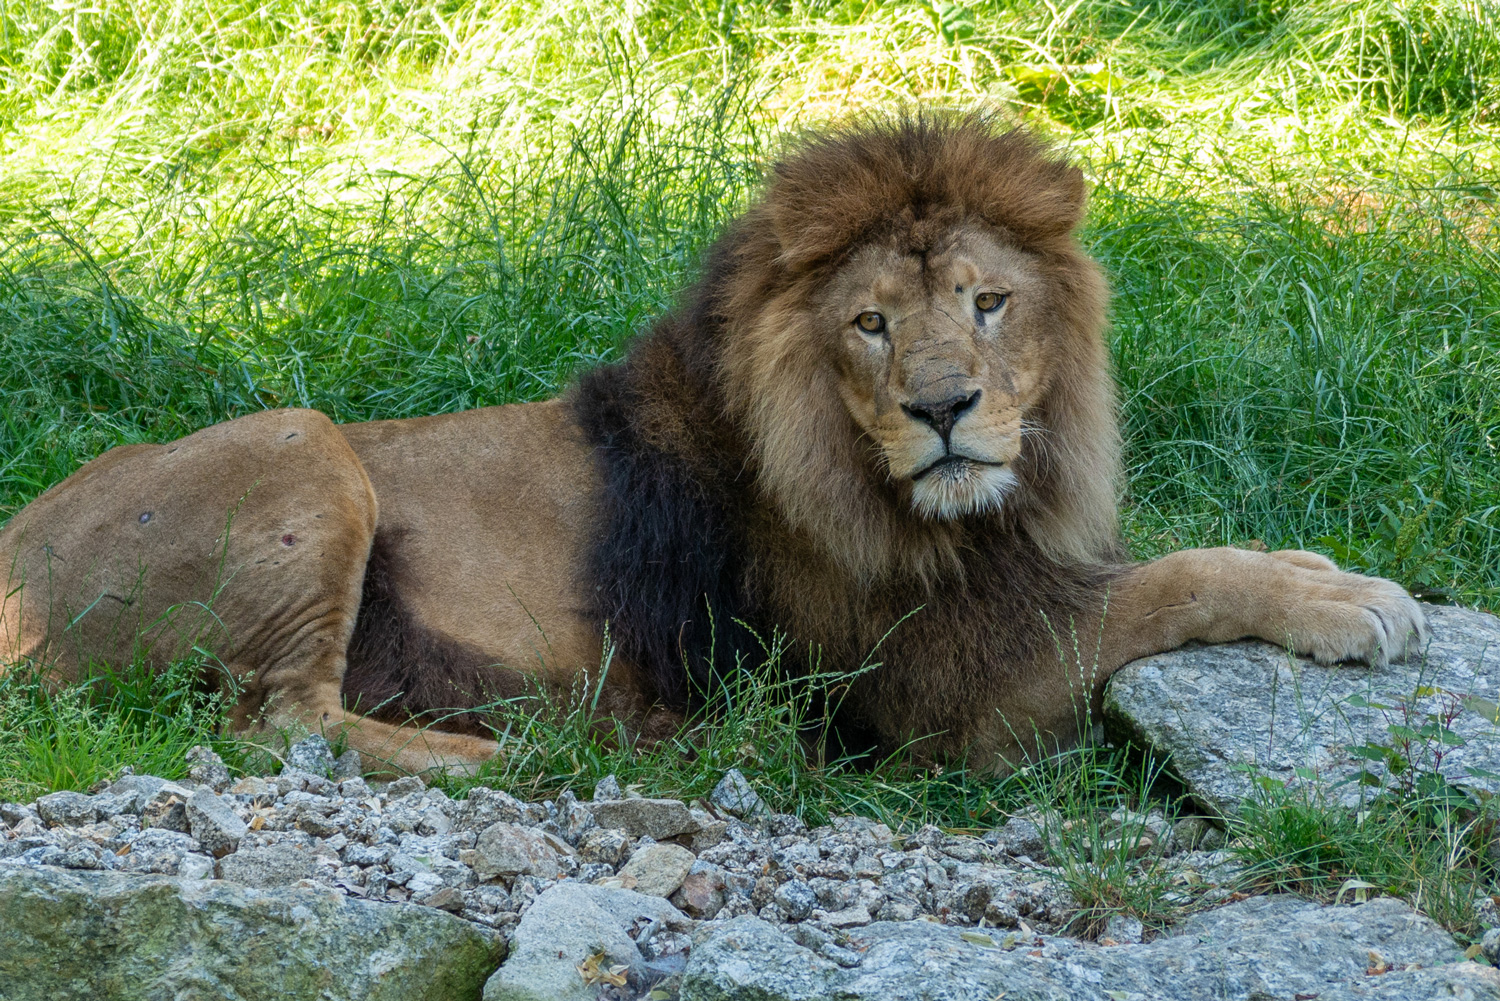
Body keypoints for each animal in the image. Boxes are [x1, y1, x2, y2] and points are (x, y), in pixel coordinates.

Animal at [2, 115, 1428, 774]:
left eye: (987, 301)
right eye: (869, 322)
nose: (945, 408)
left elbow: (1185, 550)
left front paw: (1316, 565)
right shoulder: (939, 685)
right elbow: (1174, 580)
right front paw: (1350, 601)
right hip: (304, 443)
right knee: (277, 720)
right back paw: (528, 756)